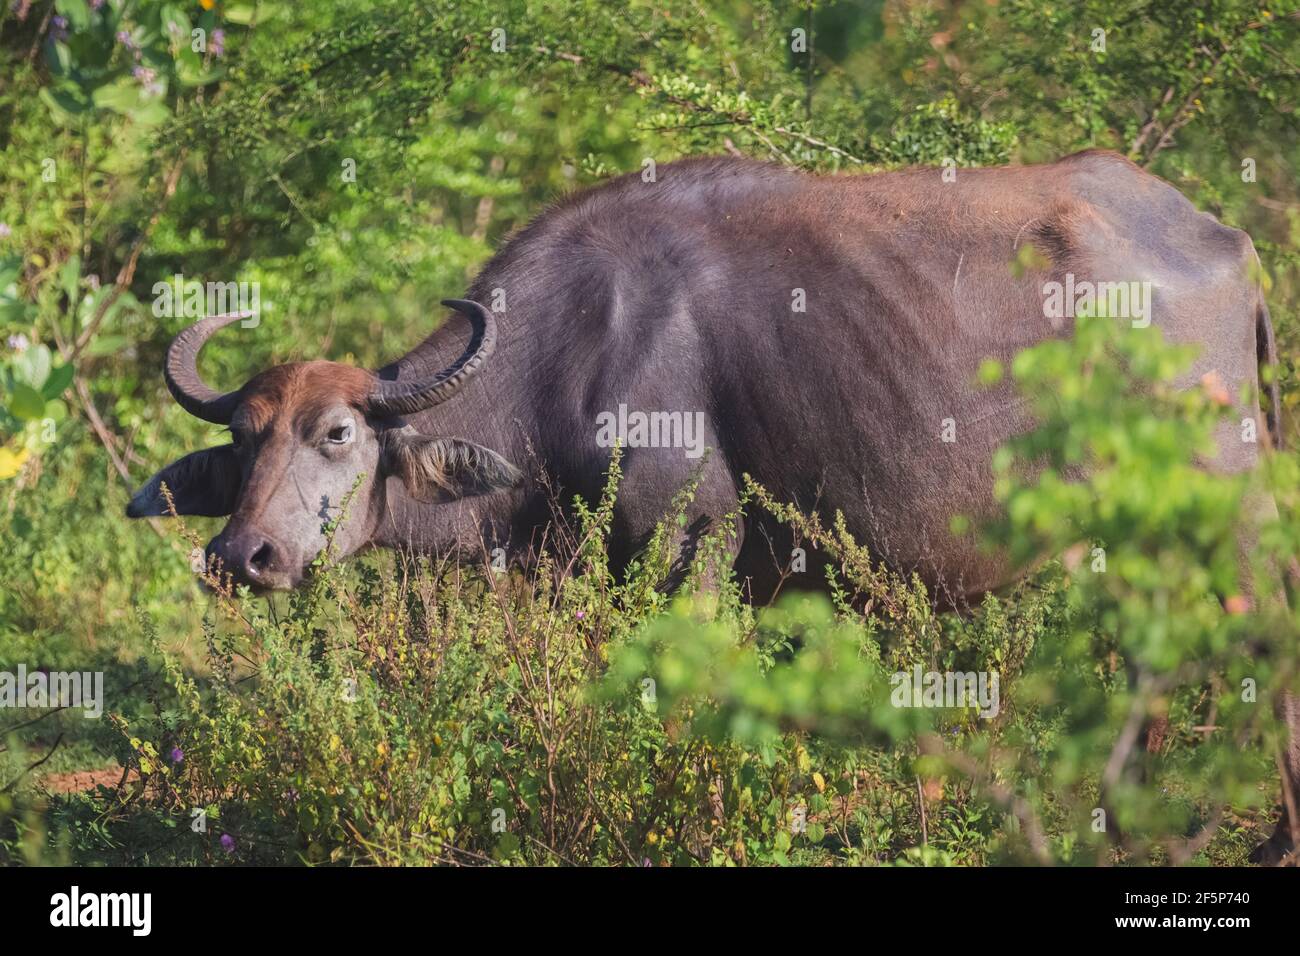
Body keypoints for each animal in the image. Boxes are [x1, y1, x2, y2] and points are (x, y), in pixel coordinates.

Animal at [129, 151, 1289, 858]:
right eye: (242, 440)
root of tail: (1225, 241)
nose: (243, 554)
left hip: (1224, 510)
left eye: (337, 434)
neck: (577, 350)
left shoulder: (690, 548)